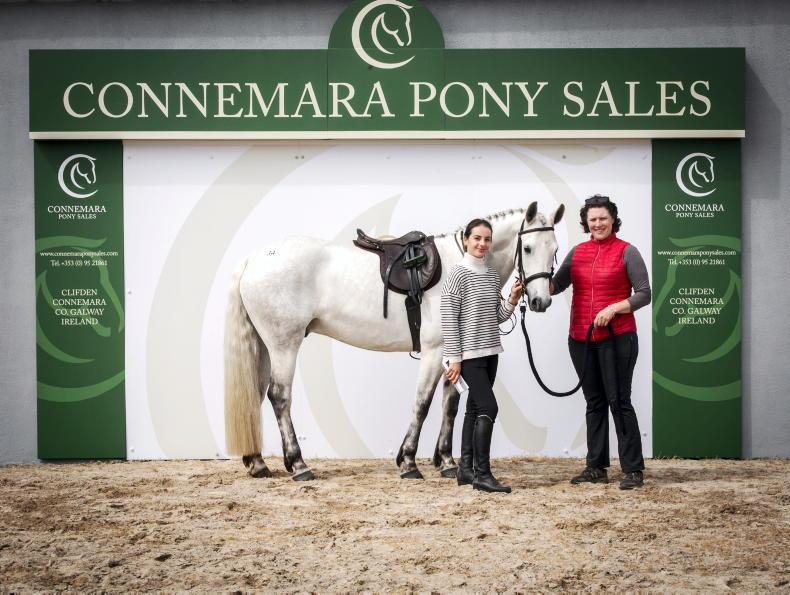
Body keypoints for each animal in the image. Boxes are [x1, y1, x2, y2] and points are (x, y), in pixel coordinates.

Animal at [224, 201, 565, 480]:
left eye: (555, 249)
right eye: (528, 248)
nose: (540, 301)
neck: (461, 265)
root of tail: (253, 259)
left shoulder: (452, 352)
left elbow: (450, 405)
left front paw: (446, 462)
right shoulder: (433, 352)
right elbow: (422, 403)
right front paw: (409, 461)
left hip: (266, 345)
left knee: (256, 394)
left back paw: (258, 463)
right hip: (284, 344)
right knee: (279, 396)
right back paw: (298, 465)